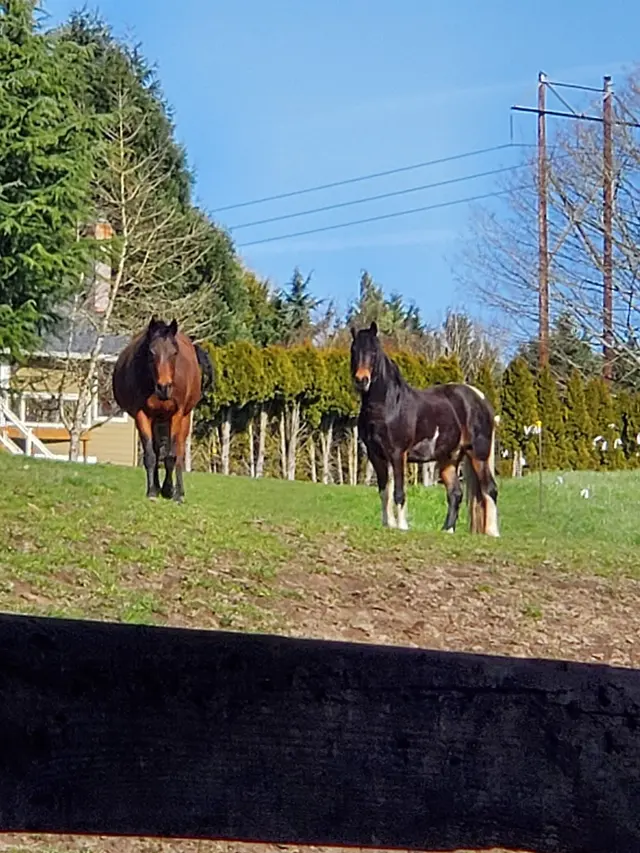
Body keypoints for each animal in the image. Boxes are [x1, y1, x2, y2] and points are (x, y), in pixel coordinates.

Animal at [112, 317, 214, 503]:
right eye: (152, 352)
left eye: (174, 353)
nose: (164, 387)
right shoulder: (142, 415)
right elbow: (151, 455)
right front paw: (153, 491)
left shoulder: (176, 415)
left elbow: (171, 456)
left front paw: (170, 490)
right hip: (158, 420)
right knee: (158, 449)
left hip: (184, 419)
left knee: (179, 453)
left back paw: (178, 492)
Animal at [350, 321, 499, 536]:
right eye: (354, 350)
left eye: (373, 351)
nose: (362, 380)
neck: (389, 404)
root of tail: (480, 398)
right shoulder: (375, 455)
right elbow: (384, 491)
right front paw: (388, 525)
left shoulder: (398, 454)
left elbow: (398, 491)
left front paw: (402, 526)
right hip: (449, 458)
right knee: (455, 493)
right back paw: (447, 530)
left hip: (478, 454)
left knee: (490, 489)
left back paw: (492, 532)